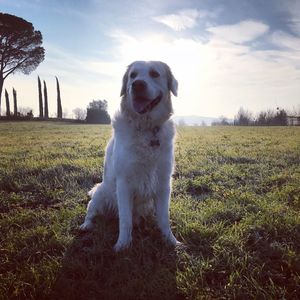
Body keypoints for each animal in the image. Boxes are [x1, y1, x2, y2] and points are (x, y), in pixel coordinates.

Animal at [79, 60, 180, 251]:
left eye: (155, 74)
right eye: (133, 75)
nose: (137, 84)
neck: (146, 128)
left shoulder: (164, 183)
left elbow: (164, 218)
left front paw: (171, 241)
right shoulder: (124, 182)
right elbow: (125, 220)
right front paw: (122, 245)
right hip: (101, 193)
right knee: (91, 211)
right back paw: (86, 225)